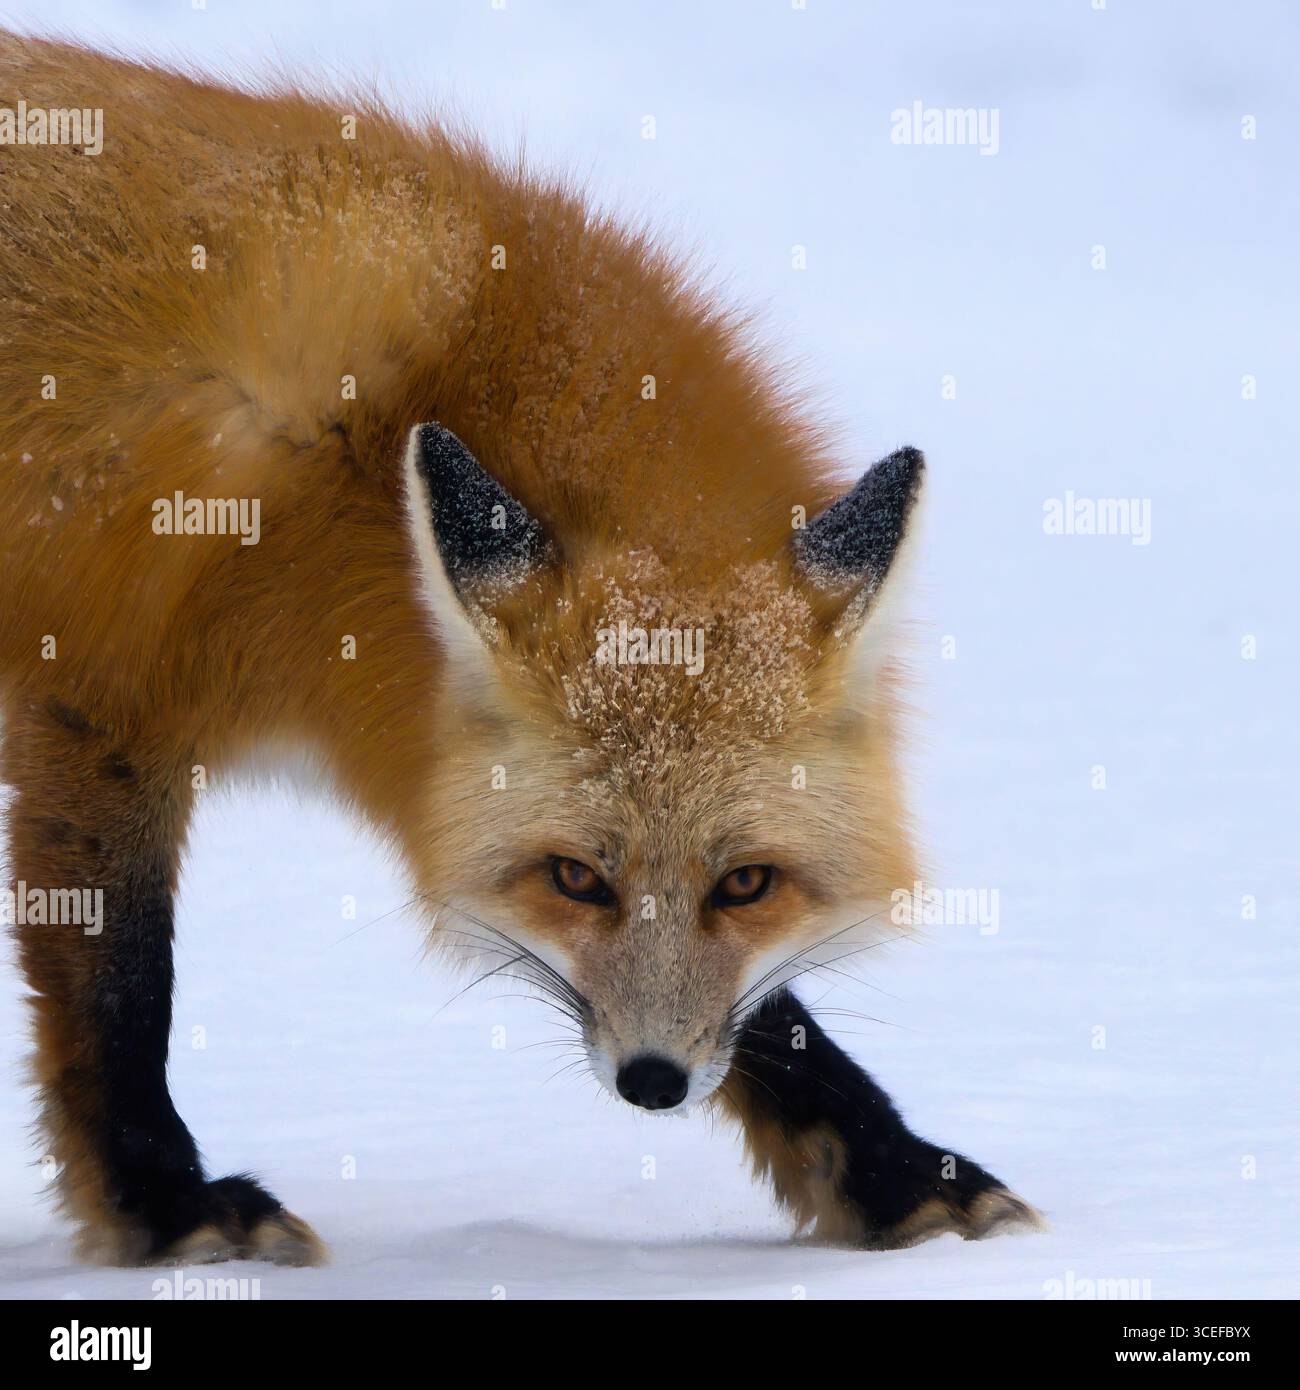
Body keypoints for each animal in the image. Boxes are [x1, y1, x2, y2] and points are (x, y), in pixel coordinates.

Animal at [0, 33, 1041, 1267]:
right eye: (574, 879)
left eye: (747, 884)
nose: (652, 1083)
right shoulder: (100, 708)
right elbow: (122, 987)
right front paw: (162, 1209)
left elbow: (770, 1021)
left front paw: (893, 1176)